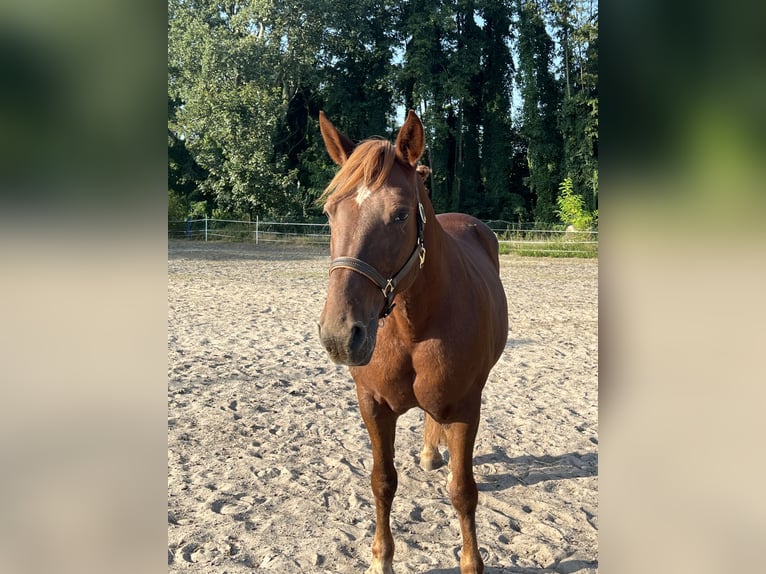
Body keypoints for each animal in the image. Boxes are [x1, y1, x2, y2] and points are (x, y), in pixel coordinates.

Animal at [318, 109, 510, 574]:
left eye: (401, 215)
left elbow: (463, 492)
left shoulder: (465, 408)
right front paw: (381, 559)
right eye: (331, 212)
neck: (411, 327)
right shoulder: (372, 404)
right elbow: (382, 481)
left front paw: (471, 563)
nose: (340, 335)